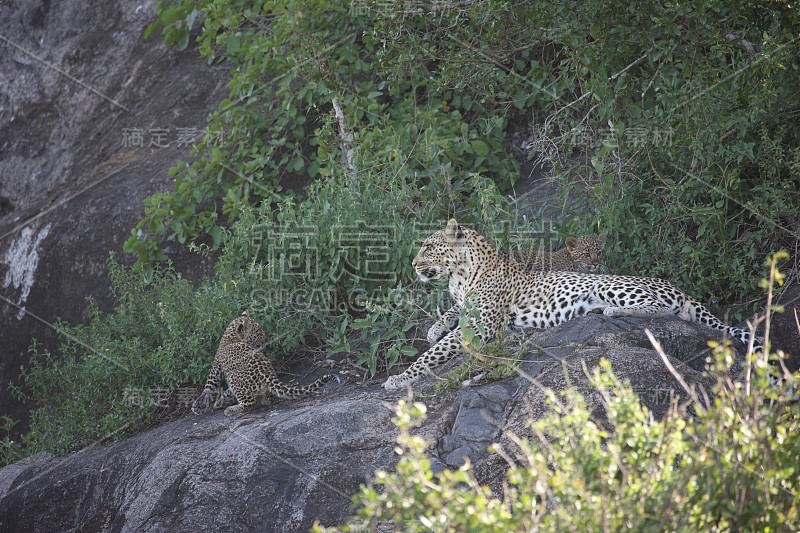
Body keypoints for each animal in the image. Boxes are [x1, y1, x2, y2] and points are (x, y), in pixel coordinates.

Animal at [191, 308, 334, 416]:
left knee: (251, 402)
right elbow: (221, 389)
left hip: (235, 377)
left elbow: (209, 385)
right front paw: (218, 402)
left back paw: (232, 409)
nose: (266, 340)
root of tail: (266, 373)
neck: (231, 338)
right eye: (259, 333)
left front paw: (199, 405)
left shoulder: (217, 367)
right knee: (269, 397)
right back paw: (264, 400)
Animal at [386, 218, 764, 388]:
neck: (460, 275)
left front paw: (401, 378)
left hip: (612, 284)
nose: (413, 265)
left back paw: (609, 309)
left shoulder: (480, 328)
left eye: (428, 246)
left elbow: (431, 355)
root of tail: (678, 287)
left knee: (663, 309)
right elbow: (443, 327)